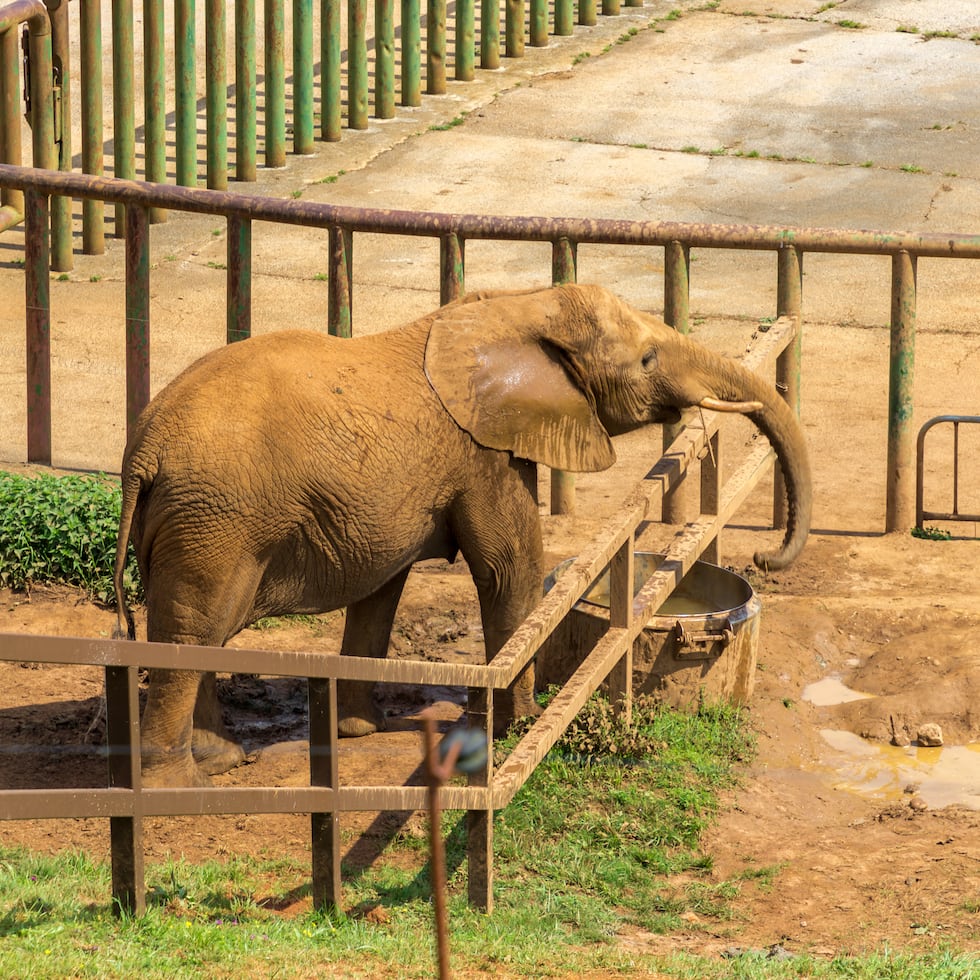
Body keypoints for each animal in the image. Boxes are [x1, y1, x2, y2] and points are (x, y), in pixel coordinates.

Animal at [112, 283, 811, 786]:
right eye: (645, 358)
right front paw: (522, 725)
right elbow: (510, 567)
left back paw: (220, 761)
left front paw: (360, 731)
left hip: (194, 522)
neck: (516, 305)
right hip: (215, 522)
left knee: (199, 631)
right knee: (195, 629)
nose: (766, 557)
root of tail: (143, 451)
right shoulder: (484, 453)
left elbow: (384, 589)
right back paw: (180, 786)